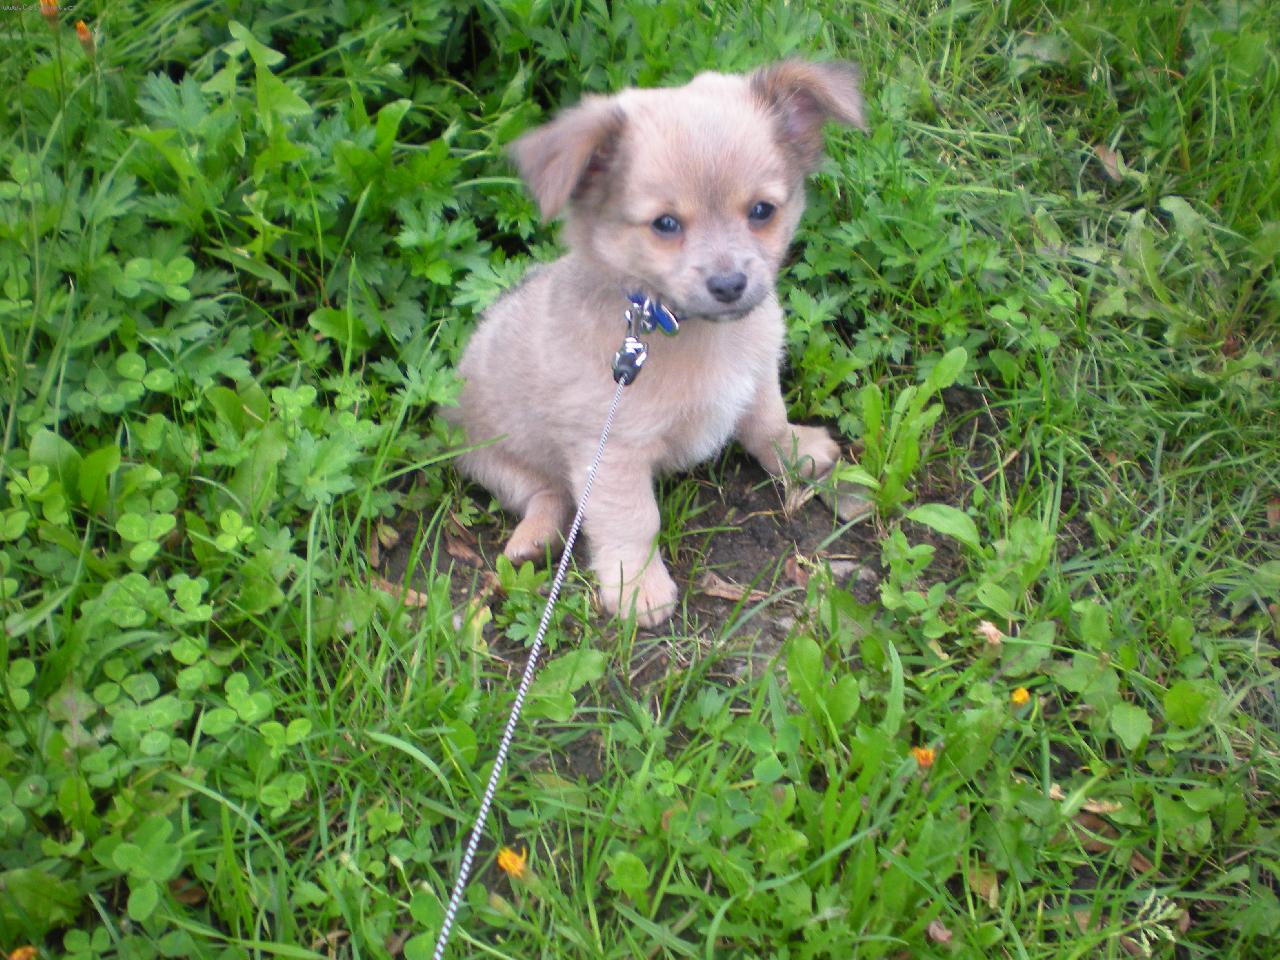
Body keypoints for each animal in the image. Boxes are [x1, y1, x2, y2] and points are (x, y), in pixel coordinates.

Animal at [449, 60, 867, 627]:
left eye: (762, 211)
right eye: (665, 224)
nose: (730, 283)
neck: (685, 330)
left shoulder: (756, 379)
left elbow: (767, 424)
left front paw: (797, 450)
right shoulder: (611, 453)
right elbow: (633, 521)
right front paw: (637, 587)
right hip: (493, 457)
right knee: (546, 493)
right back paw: (533, 540)